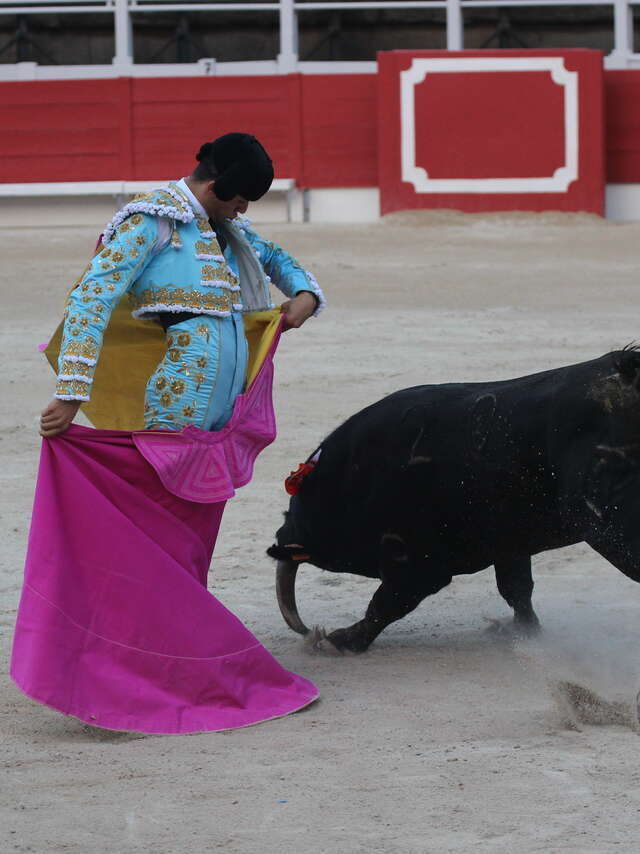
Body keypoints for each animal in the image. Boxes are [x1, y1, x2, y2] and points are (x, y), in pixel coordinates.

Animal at [266, 348, 640, 656]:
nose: (281, 538)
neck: (349, 483)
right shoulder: (508, 543)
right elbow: (517, 589)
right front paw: (521, 631)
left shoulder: (420, 563)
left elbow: (386, 603)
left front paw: (341, 640)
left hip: (611, 529)